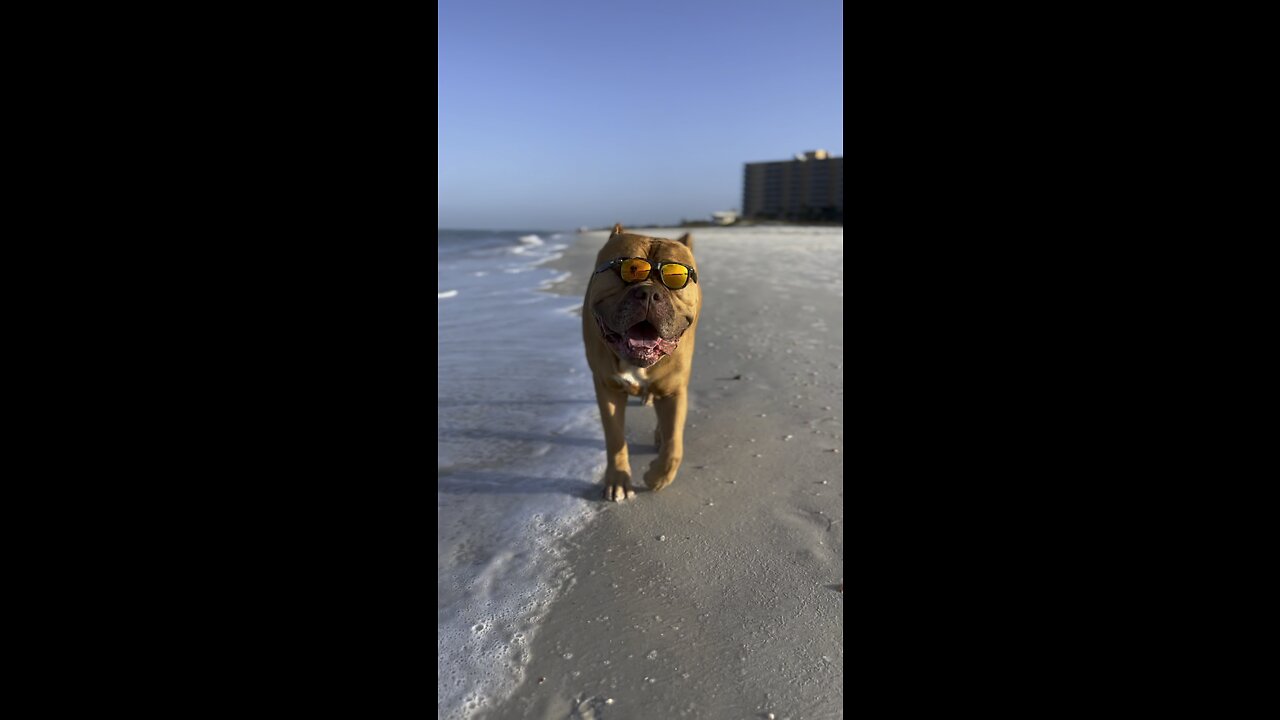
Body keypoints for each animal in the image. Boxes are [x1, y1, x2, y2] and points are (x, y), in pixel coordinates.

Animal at [586, 222, 706, 499]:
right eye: (628, 270)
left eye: (676, 277)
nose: (649, 293)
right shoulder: (608, 388)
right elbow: (615, 438)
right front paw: (618, 479)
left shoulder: (674, 391)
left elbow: (674, 446)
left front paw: (656, 477)